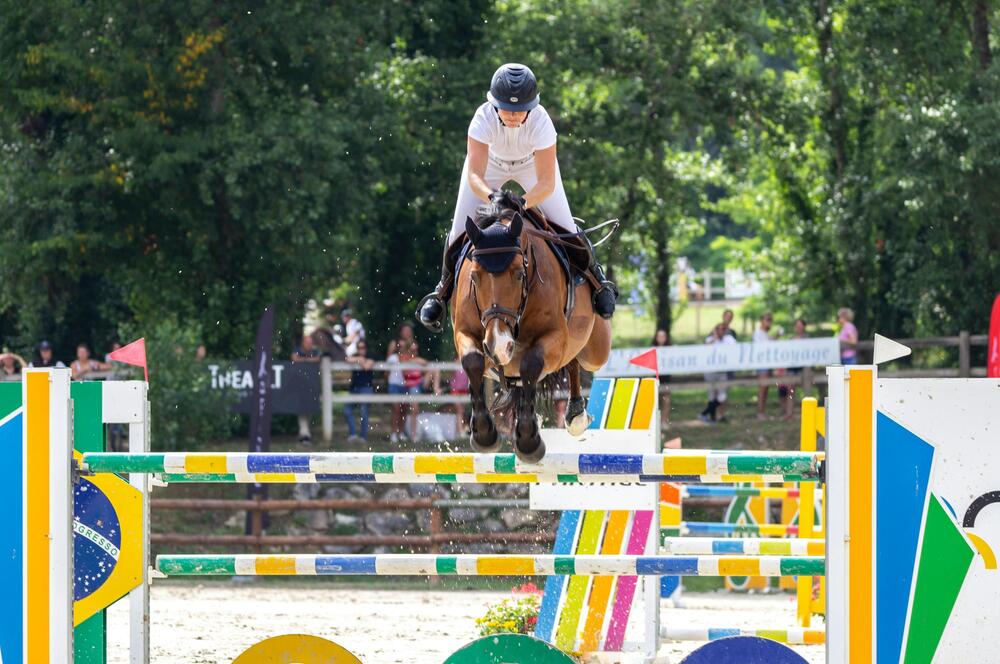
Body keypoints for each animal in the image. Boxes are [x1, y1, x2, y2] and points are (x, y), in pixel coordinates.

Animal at [452, 192, 608, 462]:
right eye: (474, 276)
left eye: (518, 274)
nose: (499, 345)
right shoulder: (465, 333)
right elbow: (473, 361)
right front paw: (484, 435)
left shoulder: (554, 337)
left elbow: (531, 364)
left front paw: (528, 441)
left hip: (596, 351)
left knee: (577, 360)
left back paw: (576, 415)